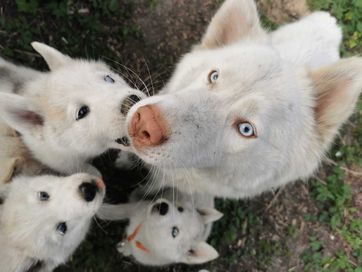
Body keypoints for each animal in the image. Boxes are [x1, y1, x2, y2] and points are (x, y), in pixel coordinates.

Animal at [123, 0, 360, 200]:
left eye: (246, 129)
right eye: (214, 76)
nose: (146, 122)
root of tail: (330, 26)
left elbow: (152, 186)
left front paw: (139, 195)